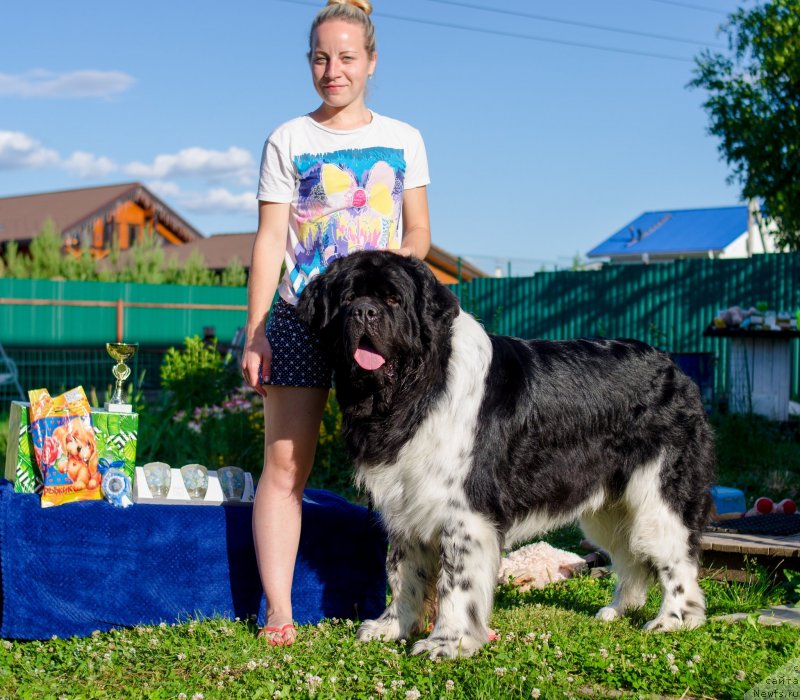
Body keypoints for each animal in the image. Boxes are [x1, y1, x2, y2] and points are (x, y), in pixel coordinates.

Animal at [296, 250, 716, 656]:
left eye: (393, 300)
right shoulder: (406, 502)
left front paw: (447, 642)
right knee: (630, 554)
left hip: (659, 493)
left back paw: (674, 619)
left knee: (676, 556)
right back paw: (618, 609)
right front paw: (391, 627)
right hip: (610, 508)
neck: (416, 390)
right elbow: (402, 572)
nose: (364, 312)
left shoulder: (465, 512)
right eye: (347, 299)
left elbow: (455, 581)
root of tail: (673, 366)